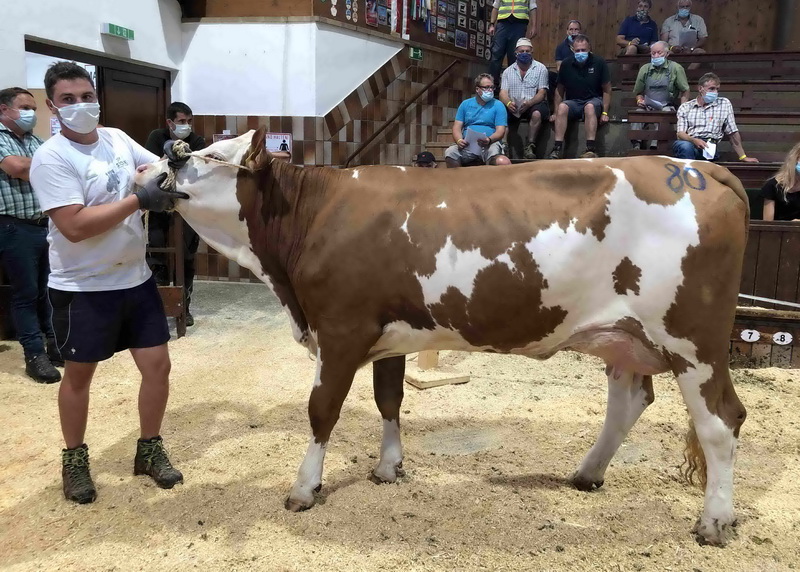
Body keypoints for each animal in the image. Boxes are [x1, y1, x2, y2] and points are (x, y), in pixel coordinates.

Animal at [136, 128, 752, 544]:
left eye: (202, 155)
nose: (148, 174)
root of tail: (697, 168)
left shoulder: (340, 329)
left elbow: (321, 410)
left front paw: (304, 488)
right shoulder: (386, 332)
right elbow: (388, 399)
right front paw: (389, 466)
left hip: (694, 341)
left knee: (721, 421)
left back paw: (715, 521)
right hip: (623, 335)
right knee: (628, 401)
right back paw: (587, 473)